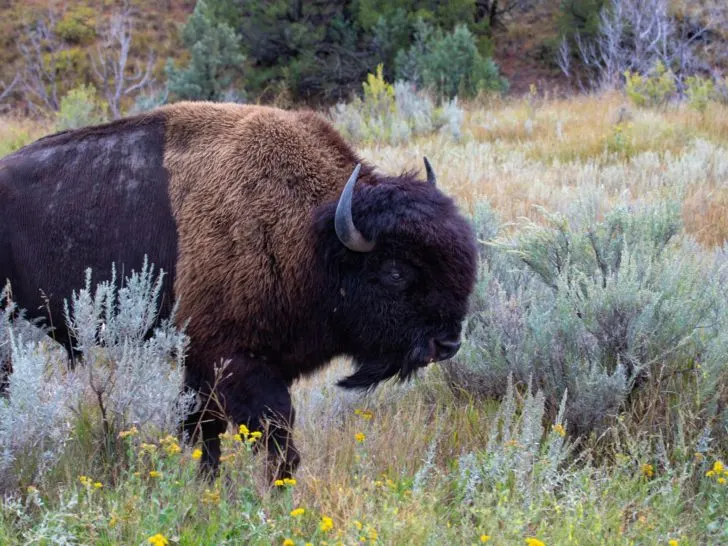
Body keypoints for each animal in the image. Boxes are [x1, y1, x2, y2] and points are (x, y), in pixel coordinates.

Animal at [0, 102, 478, 480]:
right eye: (395, 272)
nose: (447, 343)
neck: (313, 235)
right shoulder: (234, 360)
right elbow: (271, 432)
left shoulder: (206, 360)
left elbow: (203, 427)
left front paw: (206, 484)